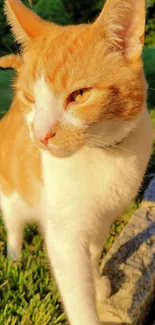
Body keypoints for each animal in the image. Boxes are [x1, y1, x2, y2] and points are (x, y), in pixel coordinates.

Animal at [0, 0, 153, 324]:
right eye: (30, 98)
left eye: (79, 95)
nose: (41, 135)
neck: (103, 155)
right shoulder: (65, 238)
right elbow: (77, 297)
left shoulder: (104, 217)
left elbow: (93, 252)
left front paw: (96, 282)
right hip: (10, 192)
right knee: (14, 223)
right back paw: (15, 256)